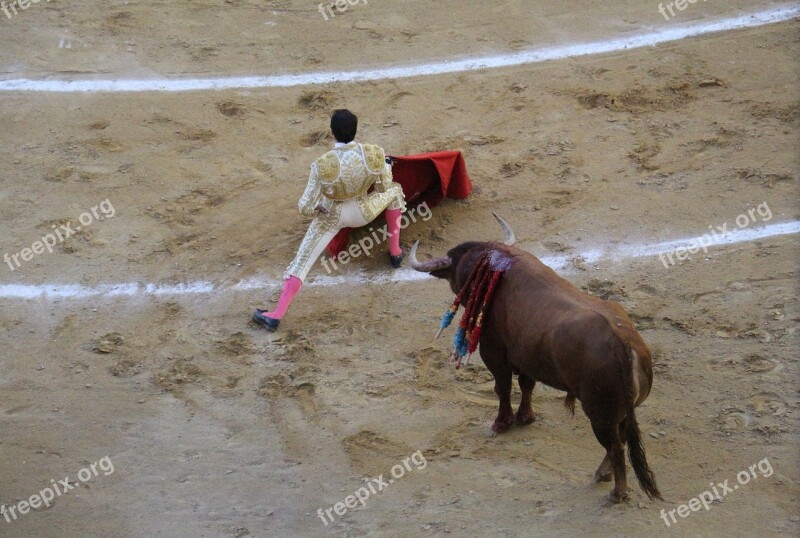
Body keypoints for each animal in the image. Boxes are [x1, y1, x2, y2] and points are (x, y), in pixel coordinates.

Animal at [410, 211, 660, 500]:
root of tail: (624, 346)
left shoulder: (493, 353)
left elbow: (503, 388)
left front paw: (502, 423)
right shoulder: (527, 358)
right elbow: (526, 385)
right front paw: (525, 418)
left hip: (600, 414)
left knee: (616, 447)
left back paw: (617, 492)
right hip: (619, 412)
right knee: (619, 441)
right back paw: (603, 475)